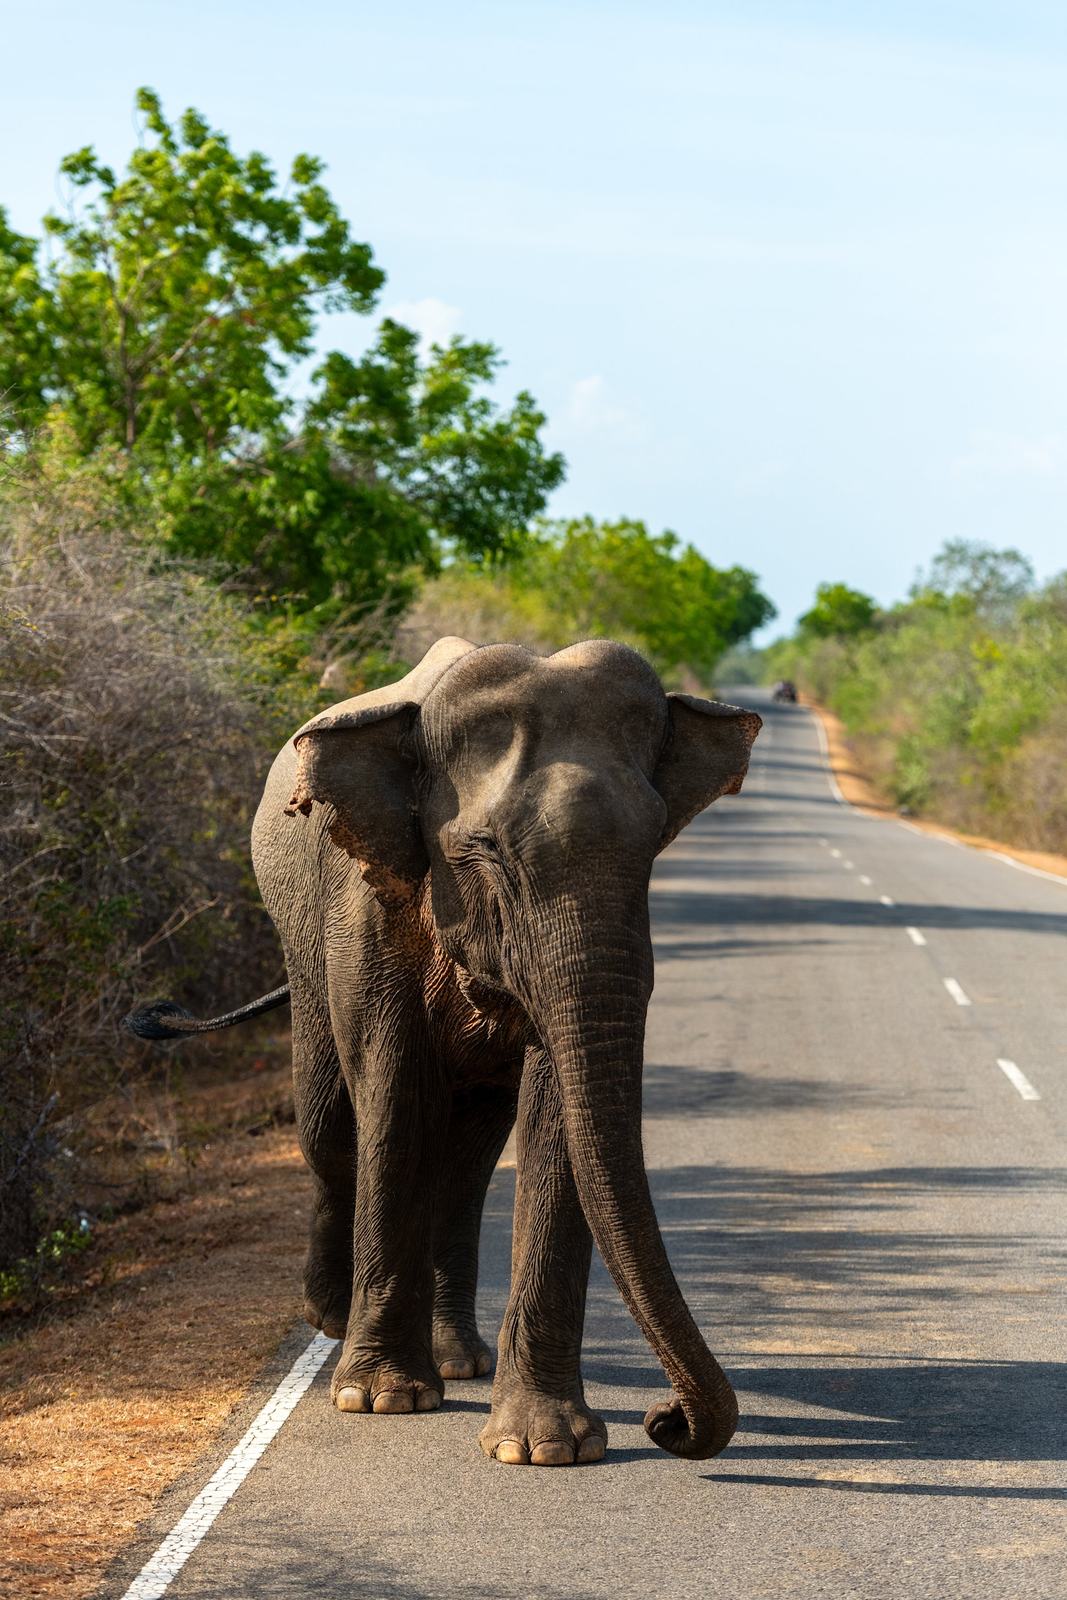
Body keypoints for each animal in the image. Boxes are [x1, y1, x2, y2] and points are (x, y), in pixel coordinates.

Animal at [126, 637, 761, 1466]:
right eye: (483, 850)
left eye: (653, 842)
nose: (666, 1420)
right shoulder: (367, 903)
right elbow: (394, 1092)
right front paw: (381, 1401)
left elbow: (554, 1108)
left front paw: (544, 1447)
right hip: (300, 945)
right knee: (329, 1129)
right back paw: (332, 1319)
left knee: (464, 1163)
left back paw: (457, 1359)